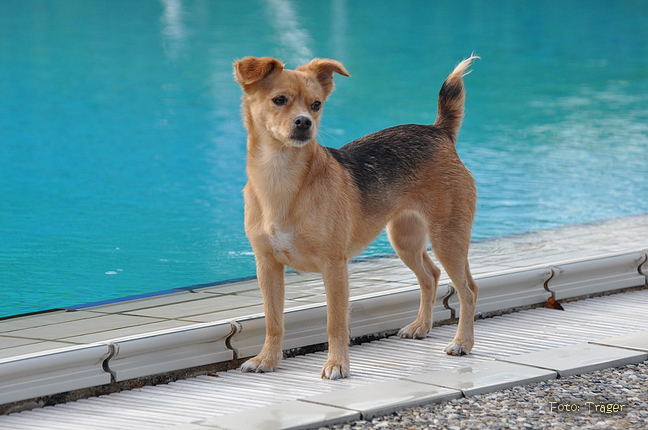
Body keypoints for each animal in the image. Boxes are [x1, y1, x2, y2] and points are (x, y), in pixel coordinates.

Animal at [235, 54, 478, 380]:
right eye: (279, 100)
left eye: (316, 105)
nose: (304, 122)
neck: (281, 177)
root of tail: (437, 130)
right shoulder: (268, 267)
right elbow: (273, 320)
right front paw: (268, 359)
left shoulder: (334, 267)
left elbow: (335, 322)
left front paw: (337, 364)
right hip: (405, 240)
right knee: (431, 275)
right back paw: (421, 327)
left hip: (447, 239)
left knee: (468, 290)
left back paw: (462, 342)